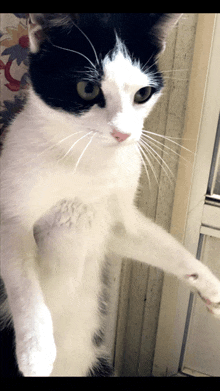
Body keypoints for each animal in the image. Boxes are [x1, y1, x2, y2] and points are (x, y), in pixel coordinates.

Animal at [0, 13, 220, 378]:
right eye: (87, 89)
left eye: (143, 94)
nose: (123, 133)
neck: (88, 162)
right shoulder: (10, 218)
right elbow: (24, 283)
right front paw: (36, 351)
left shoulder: (114, 220)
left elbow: (163, 245)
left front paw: (208, 284)